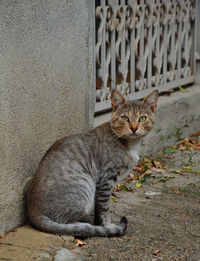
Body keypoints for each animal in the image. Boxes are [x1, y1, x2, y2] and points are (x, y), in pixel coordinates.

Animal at [26, 88, 159, 237]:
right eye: (125, 118)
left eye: (142, 118)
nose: (134, 128)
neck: (129, 144)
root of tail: (33, 211)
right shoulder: (106, 180)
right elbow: (105, 208)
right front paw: (107, 226)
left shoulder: (101, 186)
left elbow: (99, 209)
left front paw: (99, 224)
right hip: (85, 185)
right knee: (63, 222)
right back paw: (82, 226)